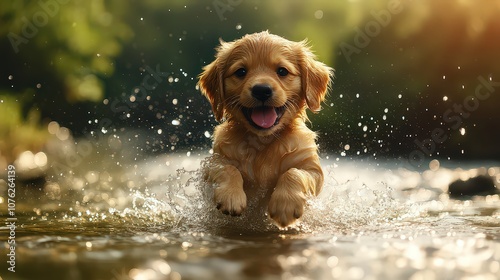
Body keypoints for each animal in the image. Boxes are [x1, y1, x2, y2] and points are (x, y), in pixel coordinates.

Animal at [198, 30, 332, 228]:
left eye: (282, 71)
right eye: (241, 71)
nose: (261, 90)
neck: (263, 140)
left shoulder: (311, 167)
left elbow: (294, 173)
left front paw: (285, 205)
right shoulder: (214, 162)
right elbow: (228, 169)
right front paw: (231, 197)